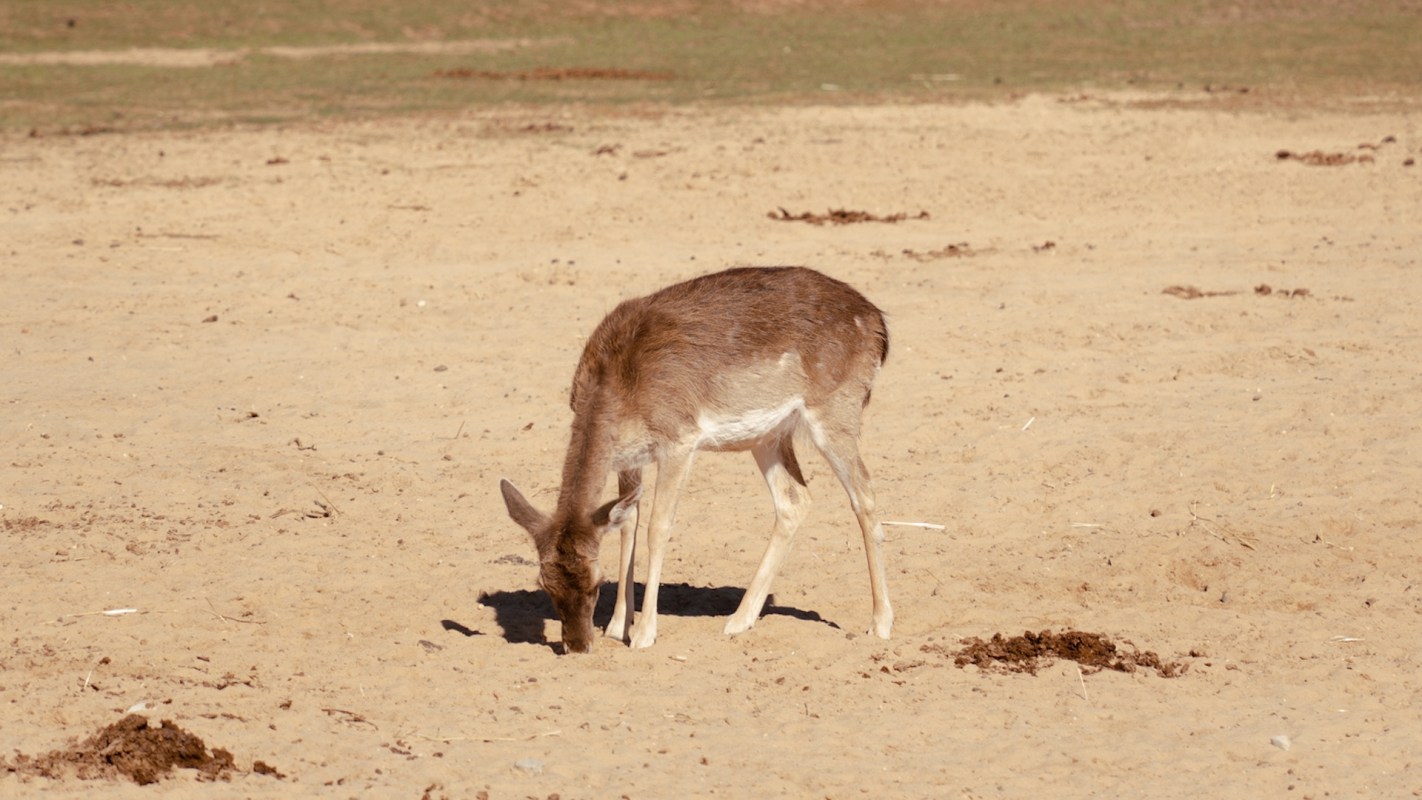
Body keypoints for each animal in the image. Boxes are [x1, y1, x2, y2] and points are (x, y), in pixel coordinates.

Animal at [499, 266, 892, 653]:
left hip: (836, 409)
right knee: (795, 499)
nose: (578, 646)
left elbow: (658, 527)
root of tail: (877, 323)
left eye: (597, 582)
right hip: (769, 435)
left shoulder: (679, 439)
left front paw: (643, 634)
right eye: (544, 583)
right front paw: (616, 627)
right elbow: (629, 524)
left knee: (864, 493)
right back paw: (738, 620)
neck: (618, 383)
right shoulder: (629, 458)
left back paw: (880, 623)